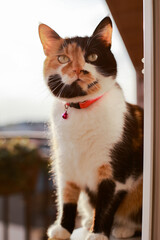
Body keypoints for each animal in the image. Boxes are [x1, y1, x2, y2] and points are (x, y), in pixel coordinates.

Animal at [38, 16, 142, 240]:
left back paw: (123, 228)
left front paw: (98, 234)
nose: (78, 69)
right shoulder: (65, 164)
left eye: (92, 57)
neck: (81, 109)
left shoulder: (115, 173)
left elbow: (105, 204)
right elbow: (67, 198)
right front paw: (63, 229)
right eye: (63, 59)